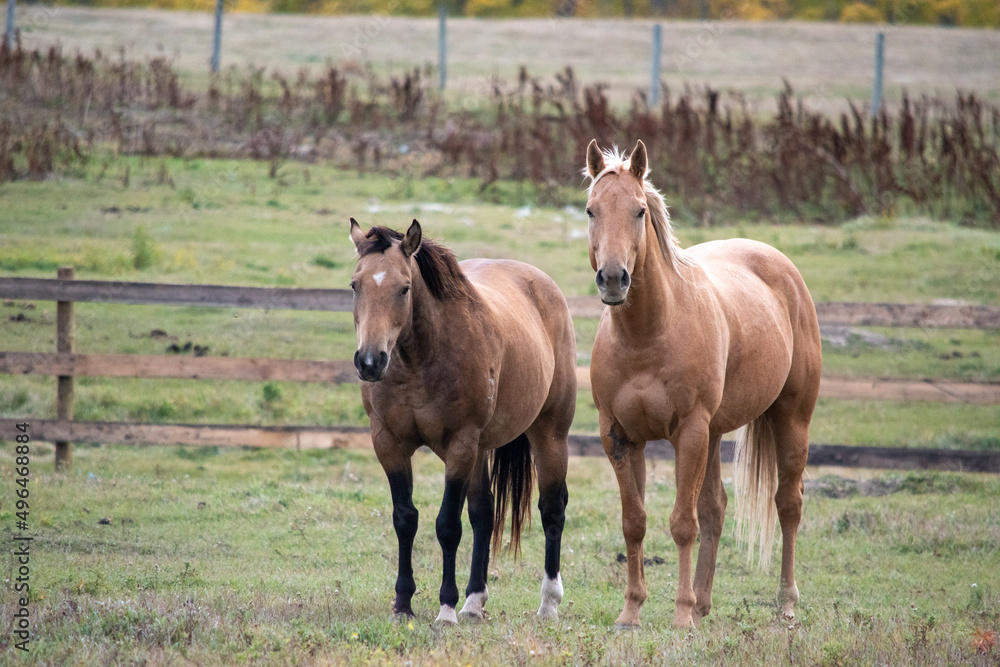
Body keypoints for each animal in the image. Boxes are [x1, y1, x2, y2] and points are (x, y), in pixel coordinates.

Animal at [348, 218, 577, 625]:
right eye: (355, 285)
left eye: (404, 288)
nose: (370, 361)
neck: (420, 360)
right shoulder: (388, 443)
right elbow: (405, 519)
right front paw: (403, 604)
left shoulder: (459, 445)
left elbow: (448, 526)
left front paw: (445, 608)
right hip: (482, 450)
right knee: (484, 513)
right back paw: (474, 601)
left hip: (550, 434)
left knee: (552, 508)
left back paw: (548, 602)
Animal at [583, 140, 822, 629]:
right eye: (591, 210)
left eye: (639, 211)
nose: (613, 279)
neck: (646, 335)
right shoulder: (619, 437)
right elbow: (634, 522)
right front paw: (631, 611)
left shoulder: (689, 432)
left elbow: (681, 524)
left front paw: (680, 617)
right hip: (714, 434)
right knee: (716, 508)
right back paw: (704, 601)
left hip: (788, 420)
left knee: (788, 504)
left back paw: (785, 603)